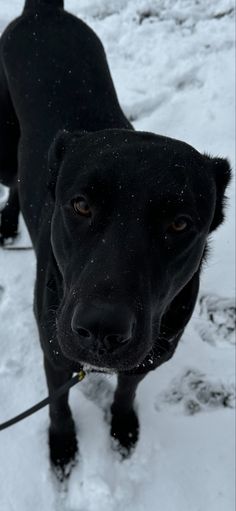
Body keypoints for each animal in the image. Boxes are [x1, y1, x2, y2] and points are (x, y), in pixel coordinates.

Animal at [0, 0, 230, 474]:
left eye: (180, 224)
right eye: (80, 205)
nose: (101, 329)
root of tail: (43, 12)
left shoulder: (151, 353)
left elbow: (127, 390)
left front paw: (123, 427)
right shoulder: (54, 351)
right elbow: (58, 404)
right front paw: (62, 446)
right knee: (12, 182)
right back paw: (8, 222)